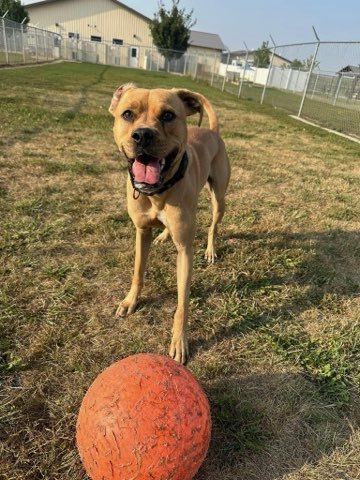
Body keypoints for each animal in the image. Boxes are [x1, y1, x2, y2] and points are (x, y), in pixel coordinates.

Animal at [108, 84, 231, 362]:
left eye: (168, 115)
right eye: (127, 114)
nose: (142, 135)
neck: (158, 192)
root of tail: (212, 131)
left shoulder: (185, 251)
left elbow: (182, 302)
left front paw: (179, 341)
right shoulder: (141, 232)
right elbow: (138, 272)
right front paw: (130, 301)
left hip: (219, 198)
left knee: (213, 226)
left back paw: (210, 249)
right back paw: (164, 236)